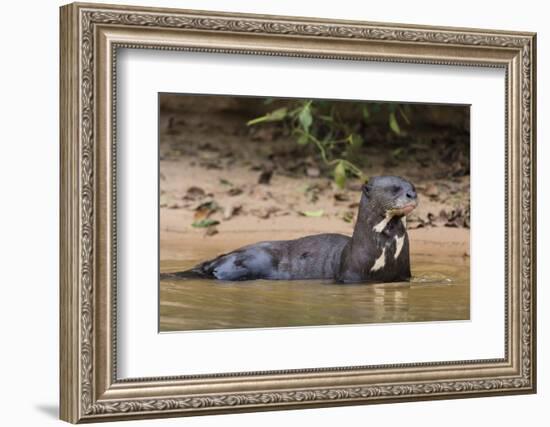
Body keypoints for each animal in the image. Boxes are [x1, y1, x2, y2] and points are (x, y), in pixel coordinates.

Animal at [166, 176, 420, 284]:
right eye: (394, 188)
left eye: (413, 186)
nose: (412, 194)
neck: (385, 253)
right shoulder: (350, 276)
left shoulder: (404, 275)